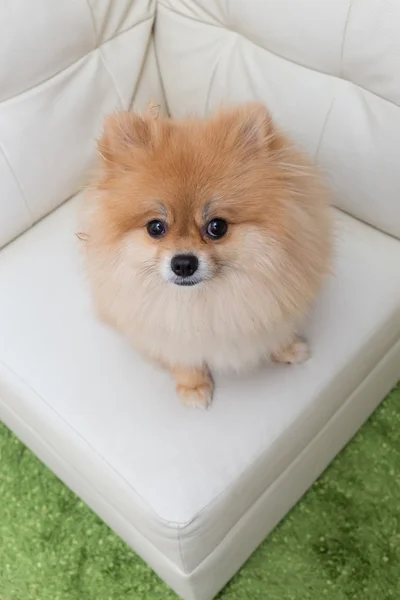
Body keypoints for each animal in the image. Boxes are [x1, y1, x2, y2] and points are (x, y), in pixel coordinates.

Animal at [81, 105, 332, 410]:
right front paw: (194, 386)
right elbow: (181, 358)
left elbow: (276, 331)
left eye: (217, 227)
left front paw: (288, 348)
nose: (183, 263)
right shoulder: (163, 332)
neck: (203, 300)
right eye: (156, 227)